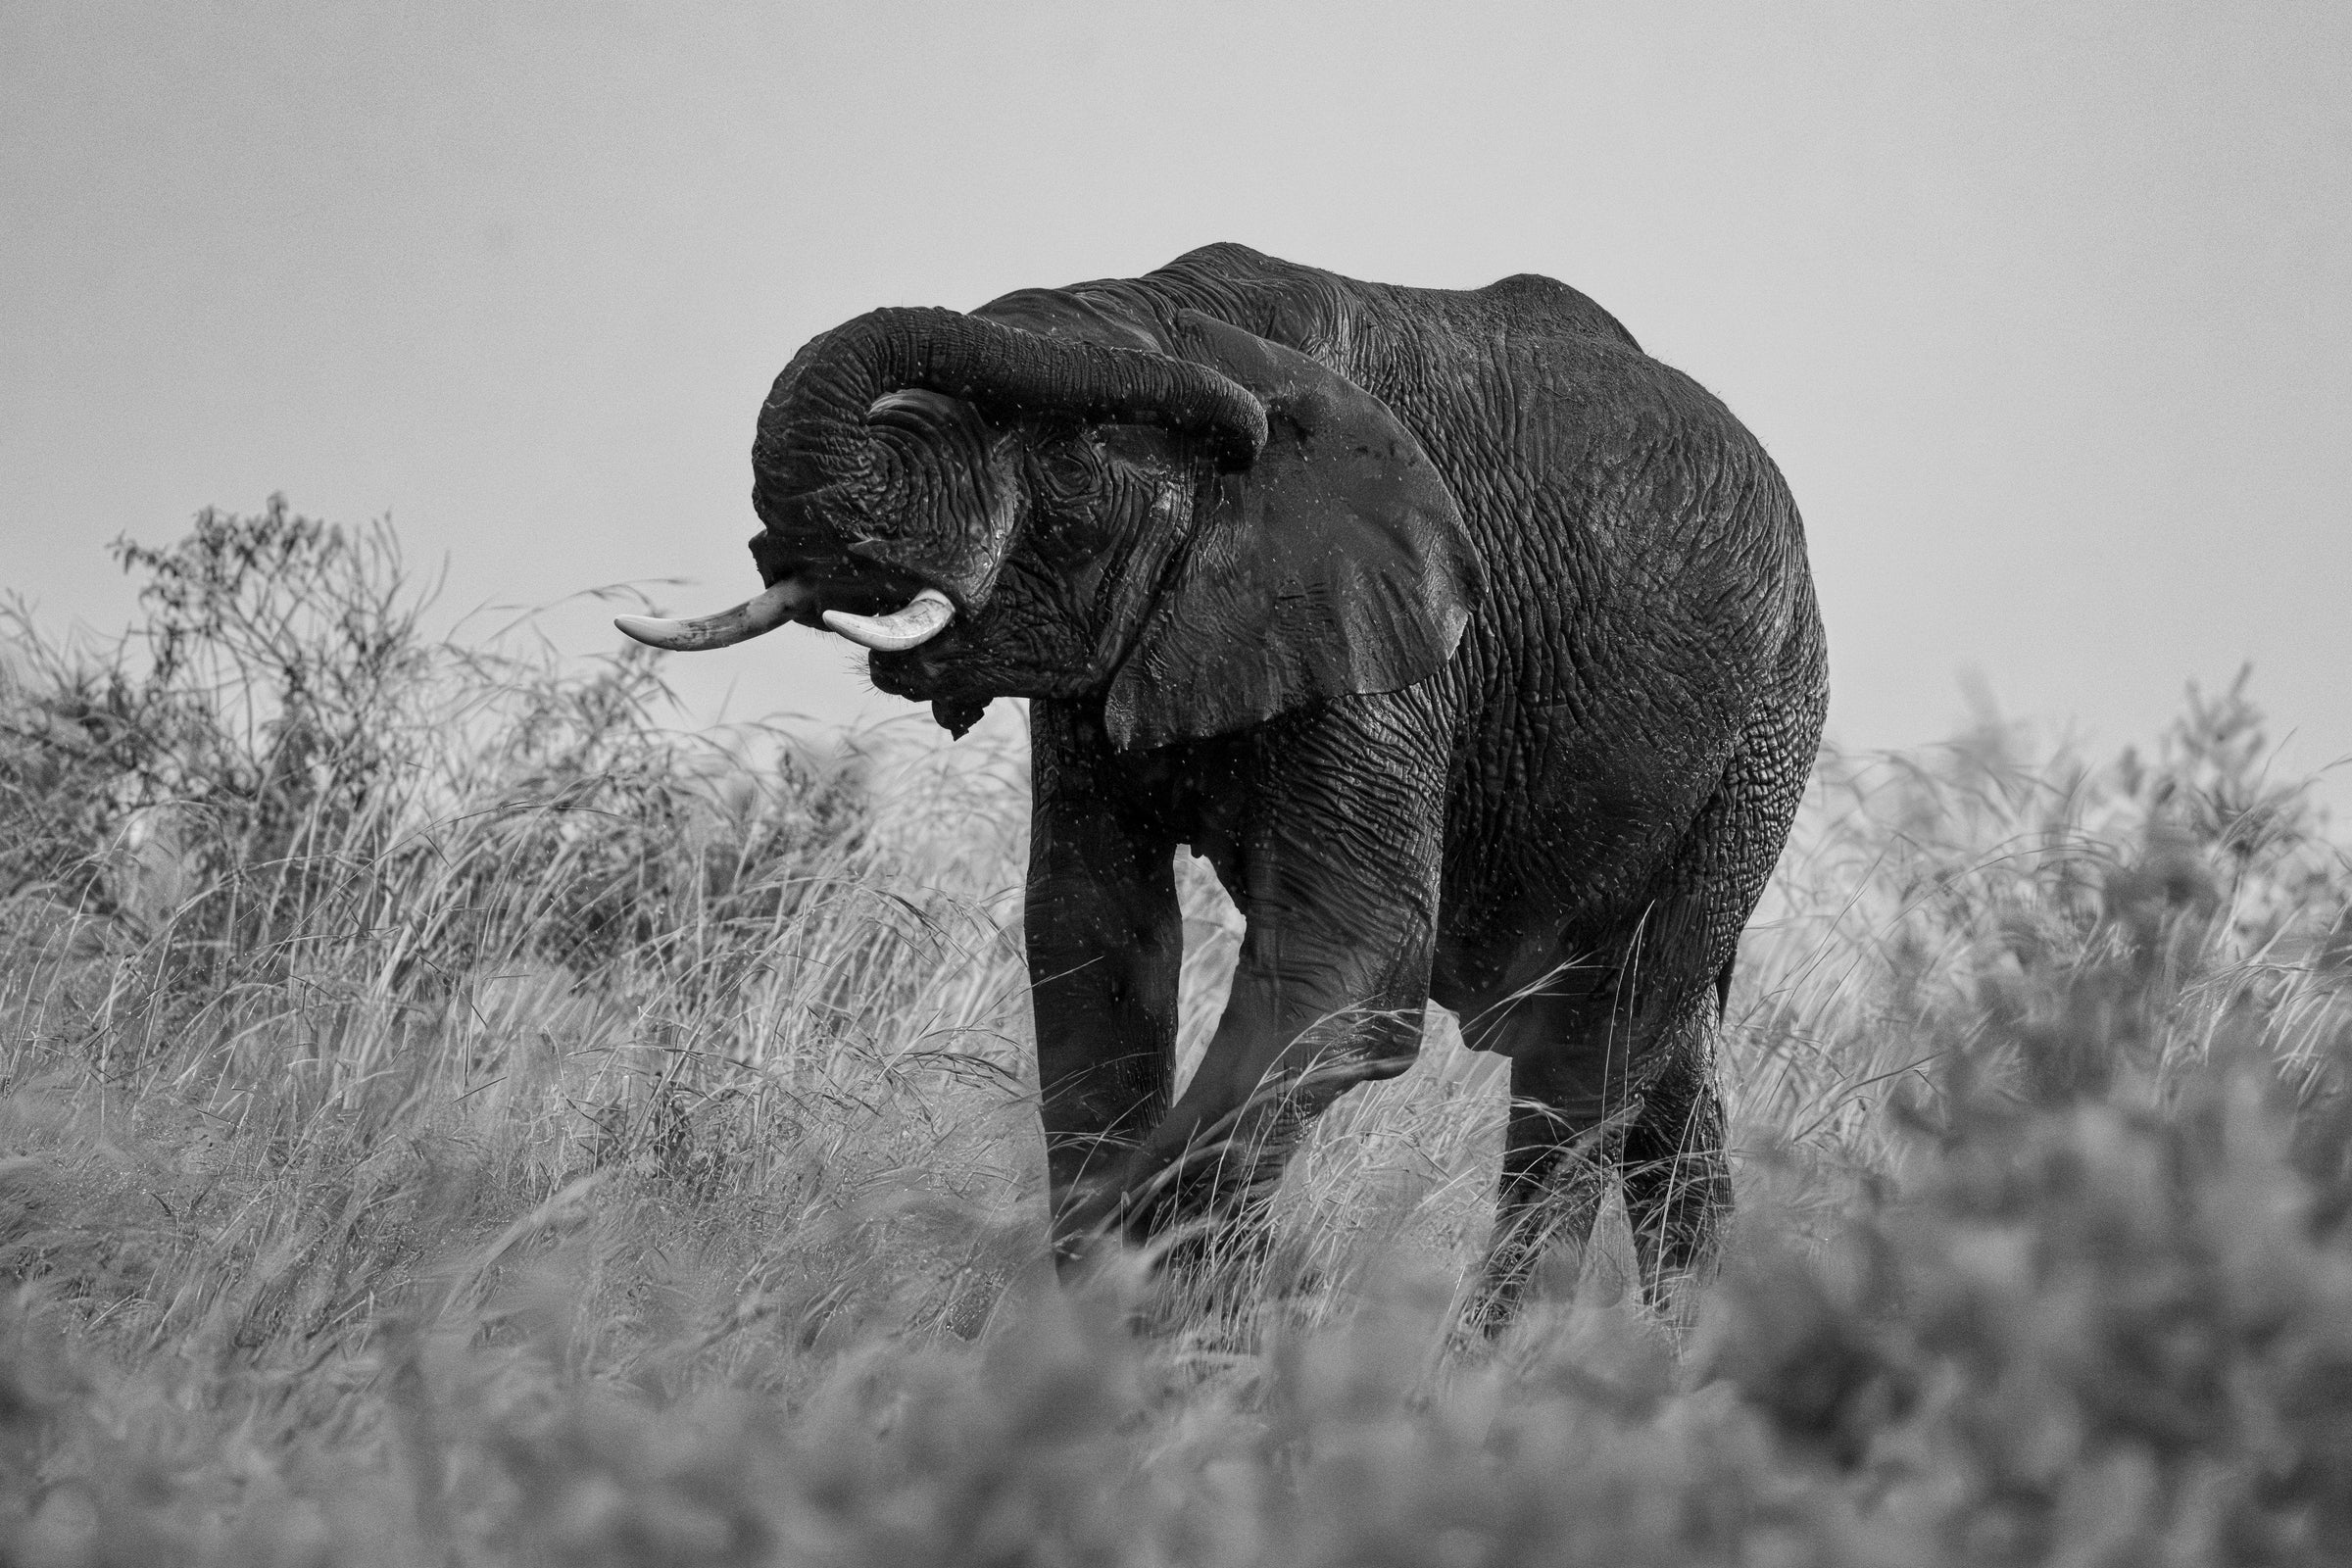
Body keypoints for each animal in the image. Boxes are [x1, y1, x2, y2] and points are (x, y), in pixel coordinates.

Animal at [619, 244, 1827, 1315]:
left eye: (1071, 464)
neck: (1177, 309)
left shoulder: (1389, 629)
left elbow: (1342, 968)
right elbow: (1094, 937)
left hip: (1763, 735)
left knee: (1592, 1059)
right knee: (1669, 1070)